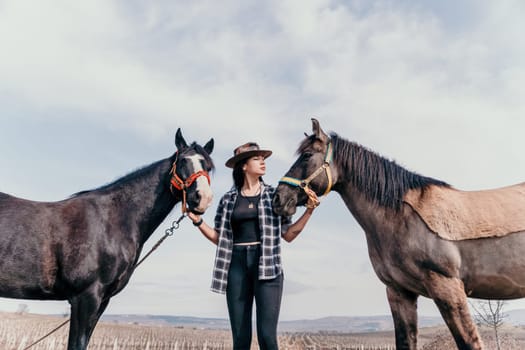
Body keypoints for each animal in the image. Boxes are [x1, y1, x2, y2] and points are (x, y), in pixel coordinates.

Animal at [0, 129, 213, 350]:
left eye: (208, 166)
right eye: (183, 161)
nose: (202, 197)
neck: (112, 220)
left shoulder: (102, 300)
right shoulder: (86, 297)